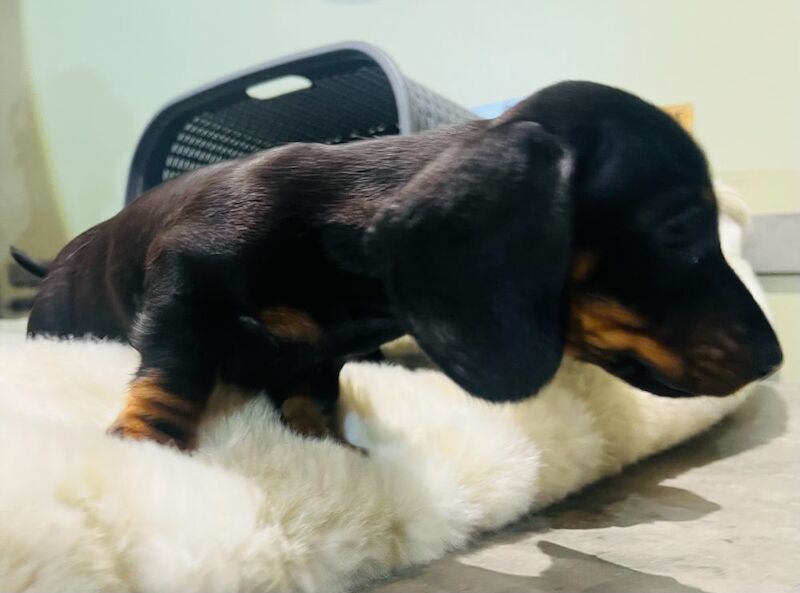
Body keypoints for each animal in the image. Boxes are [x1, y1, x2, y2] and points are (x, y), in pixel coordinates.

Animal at [17, 80, 780, 448]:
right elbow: (176, 370)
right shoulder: (182, 282)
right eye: (681, 227)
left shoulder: (319, 358)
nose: (775, 357)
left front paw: (331, 449)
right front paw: (148, 440)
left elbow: (313, 396)